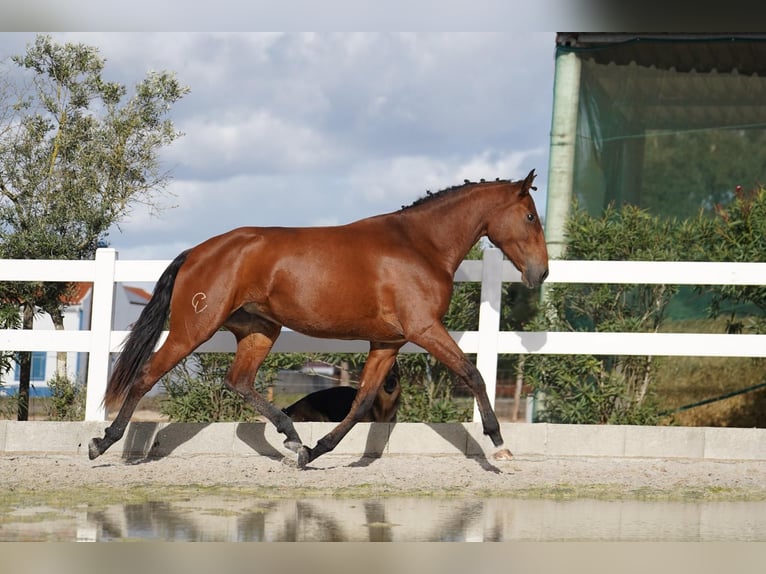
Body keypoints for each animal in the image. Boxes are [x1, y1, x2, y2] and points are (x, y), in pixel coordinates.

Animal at [88, 170, 544, 468]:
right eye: (529, 216)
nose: (541, 272)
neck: (419, 245)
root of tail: (197, 252)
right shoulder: (425, 329)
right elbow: (473, 374)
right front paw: (499, 446)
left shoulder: (389, 342)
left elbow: (361, 403)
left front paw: (313, 451)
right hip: (193, 328)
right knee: (146, 375)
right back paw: (103, 443)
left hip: (260, 330)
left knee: (239, 381)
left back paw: (291, 437)